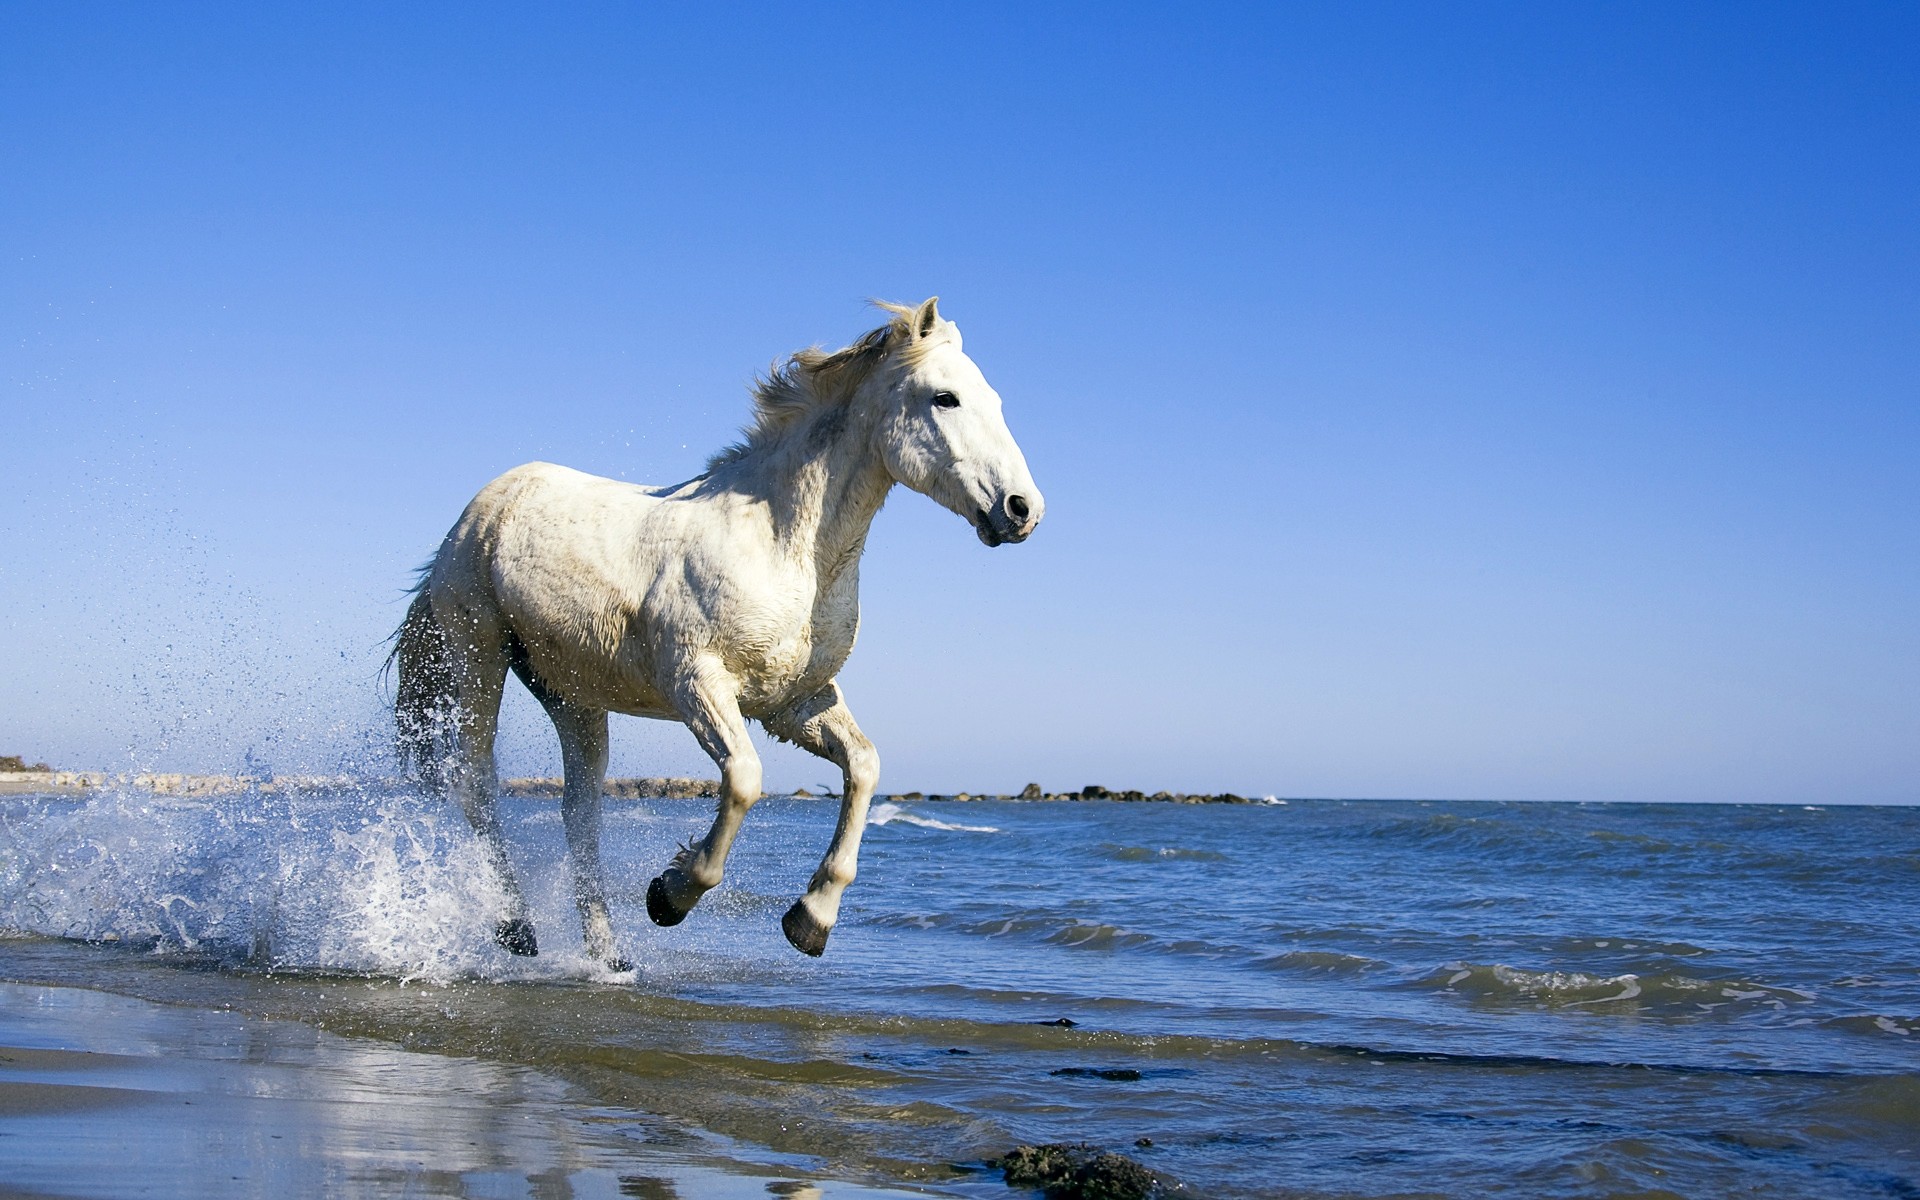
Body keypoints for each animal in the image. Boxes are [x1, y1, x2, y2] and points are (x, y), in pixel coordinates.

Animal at [395, 295, 1044, 967]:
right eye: (945, 398)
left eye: (993, 400)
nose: (1023, 509)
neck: (783, 546)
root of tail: (483, 506)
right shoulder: (698, 683)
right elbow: (744, 781)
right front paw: (669, 895)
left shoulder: (793, 702)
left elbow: (864, 767)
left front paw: (811, 920)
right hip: (478, 656)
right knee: (475, 784)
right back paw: (517, 927)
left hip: (574, 696)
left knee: (580, 816)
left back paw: (609, 955)